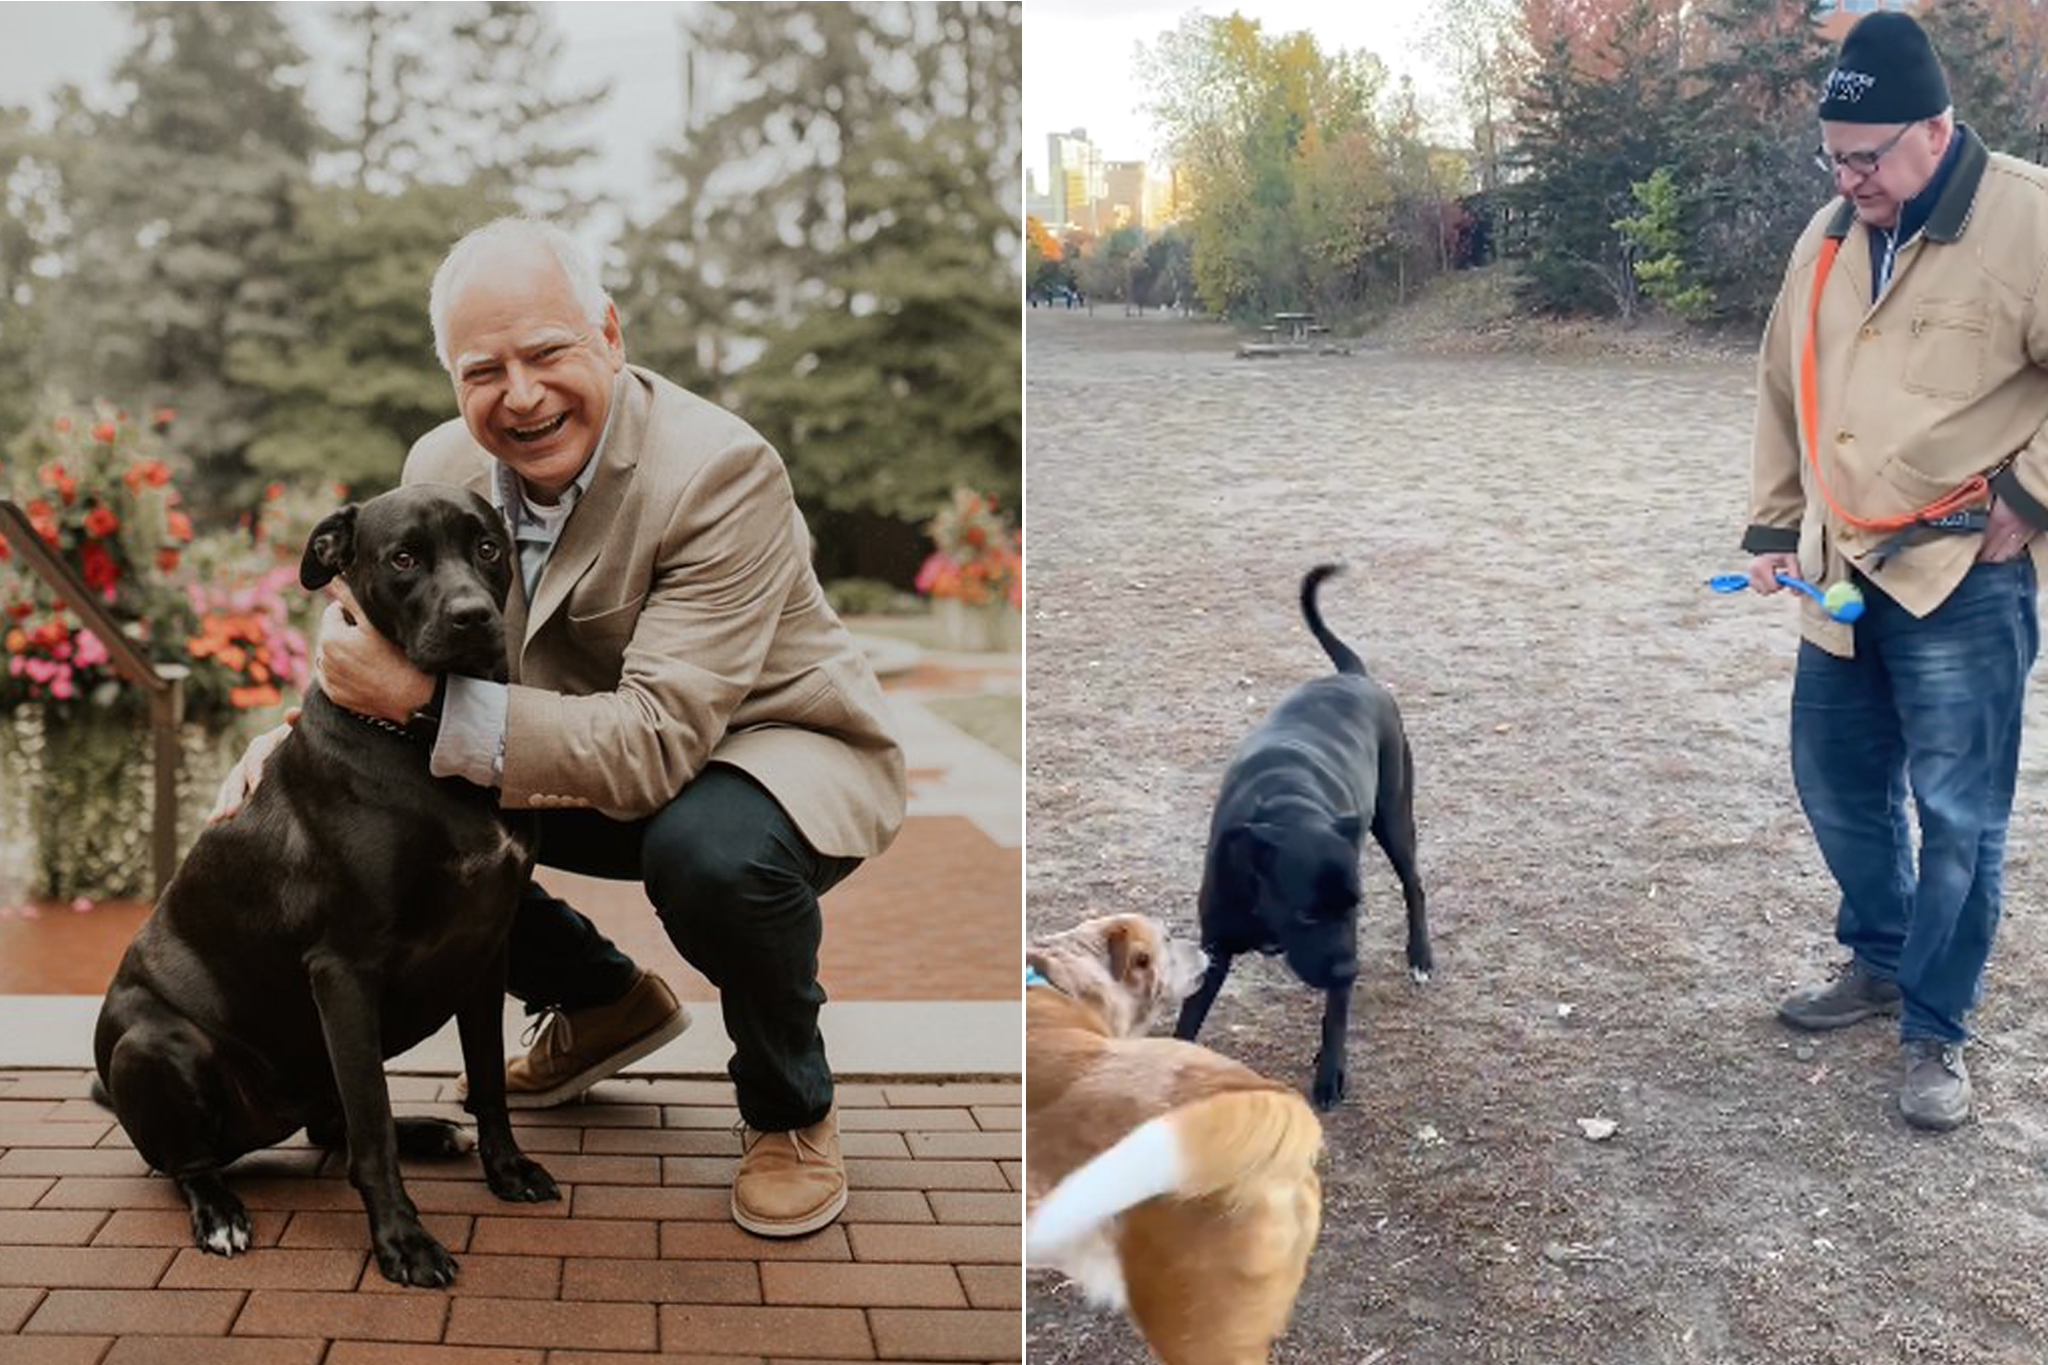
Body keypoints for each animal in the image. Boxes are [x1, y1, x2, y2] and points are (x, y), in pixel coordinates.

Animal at [93, 485, 557, 1285]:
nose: (473, 616)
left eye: (488, 547)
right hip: (154, 1046)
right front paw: (402, 1239)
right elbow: (372, 1127)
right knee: (193, 1162)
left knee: (330, 1122)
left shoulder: (486, 949)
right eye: (403, 558)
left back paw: (430, 1131)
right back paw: (218, 1212)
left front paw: (507, 1169)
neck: (421, 745)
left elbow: (488, 1081)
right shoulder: (343, 969)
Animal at [1179, 564, 1433, 1113]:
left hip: (1393, 818)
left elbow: (1335, 1017)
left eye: (1353, 908)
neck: (1286, 808)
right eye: (1308, 914)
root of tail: (1353, 675)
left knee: (1415, 885)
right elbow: (1187, 1020)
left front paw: (1330, 1071)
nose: (1351, 971)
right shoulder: (1215, 946)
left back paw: (1420, 956)